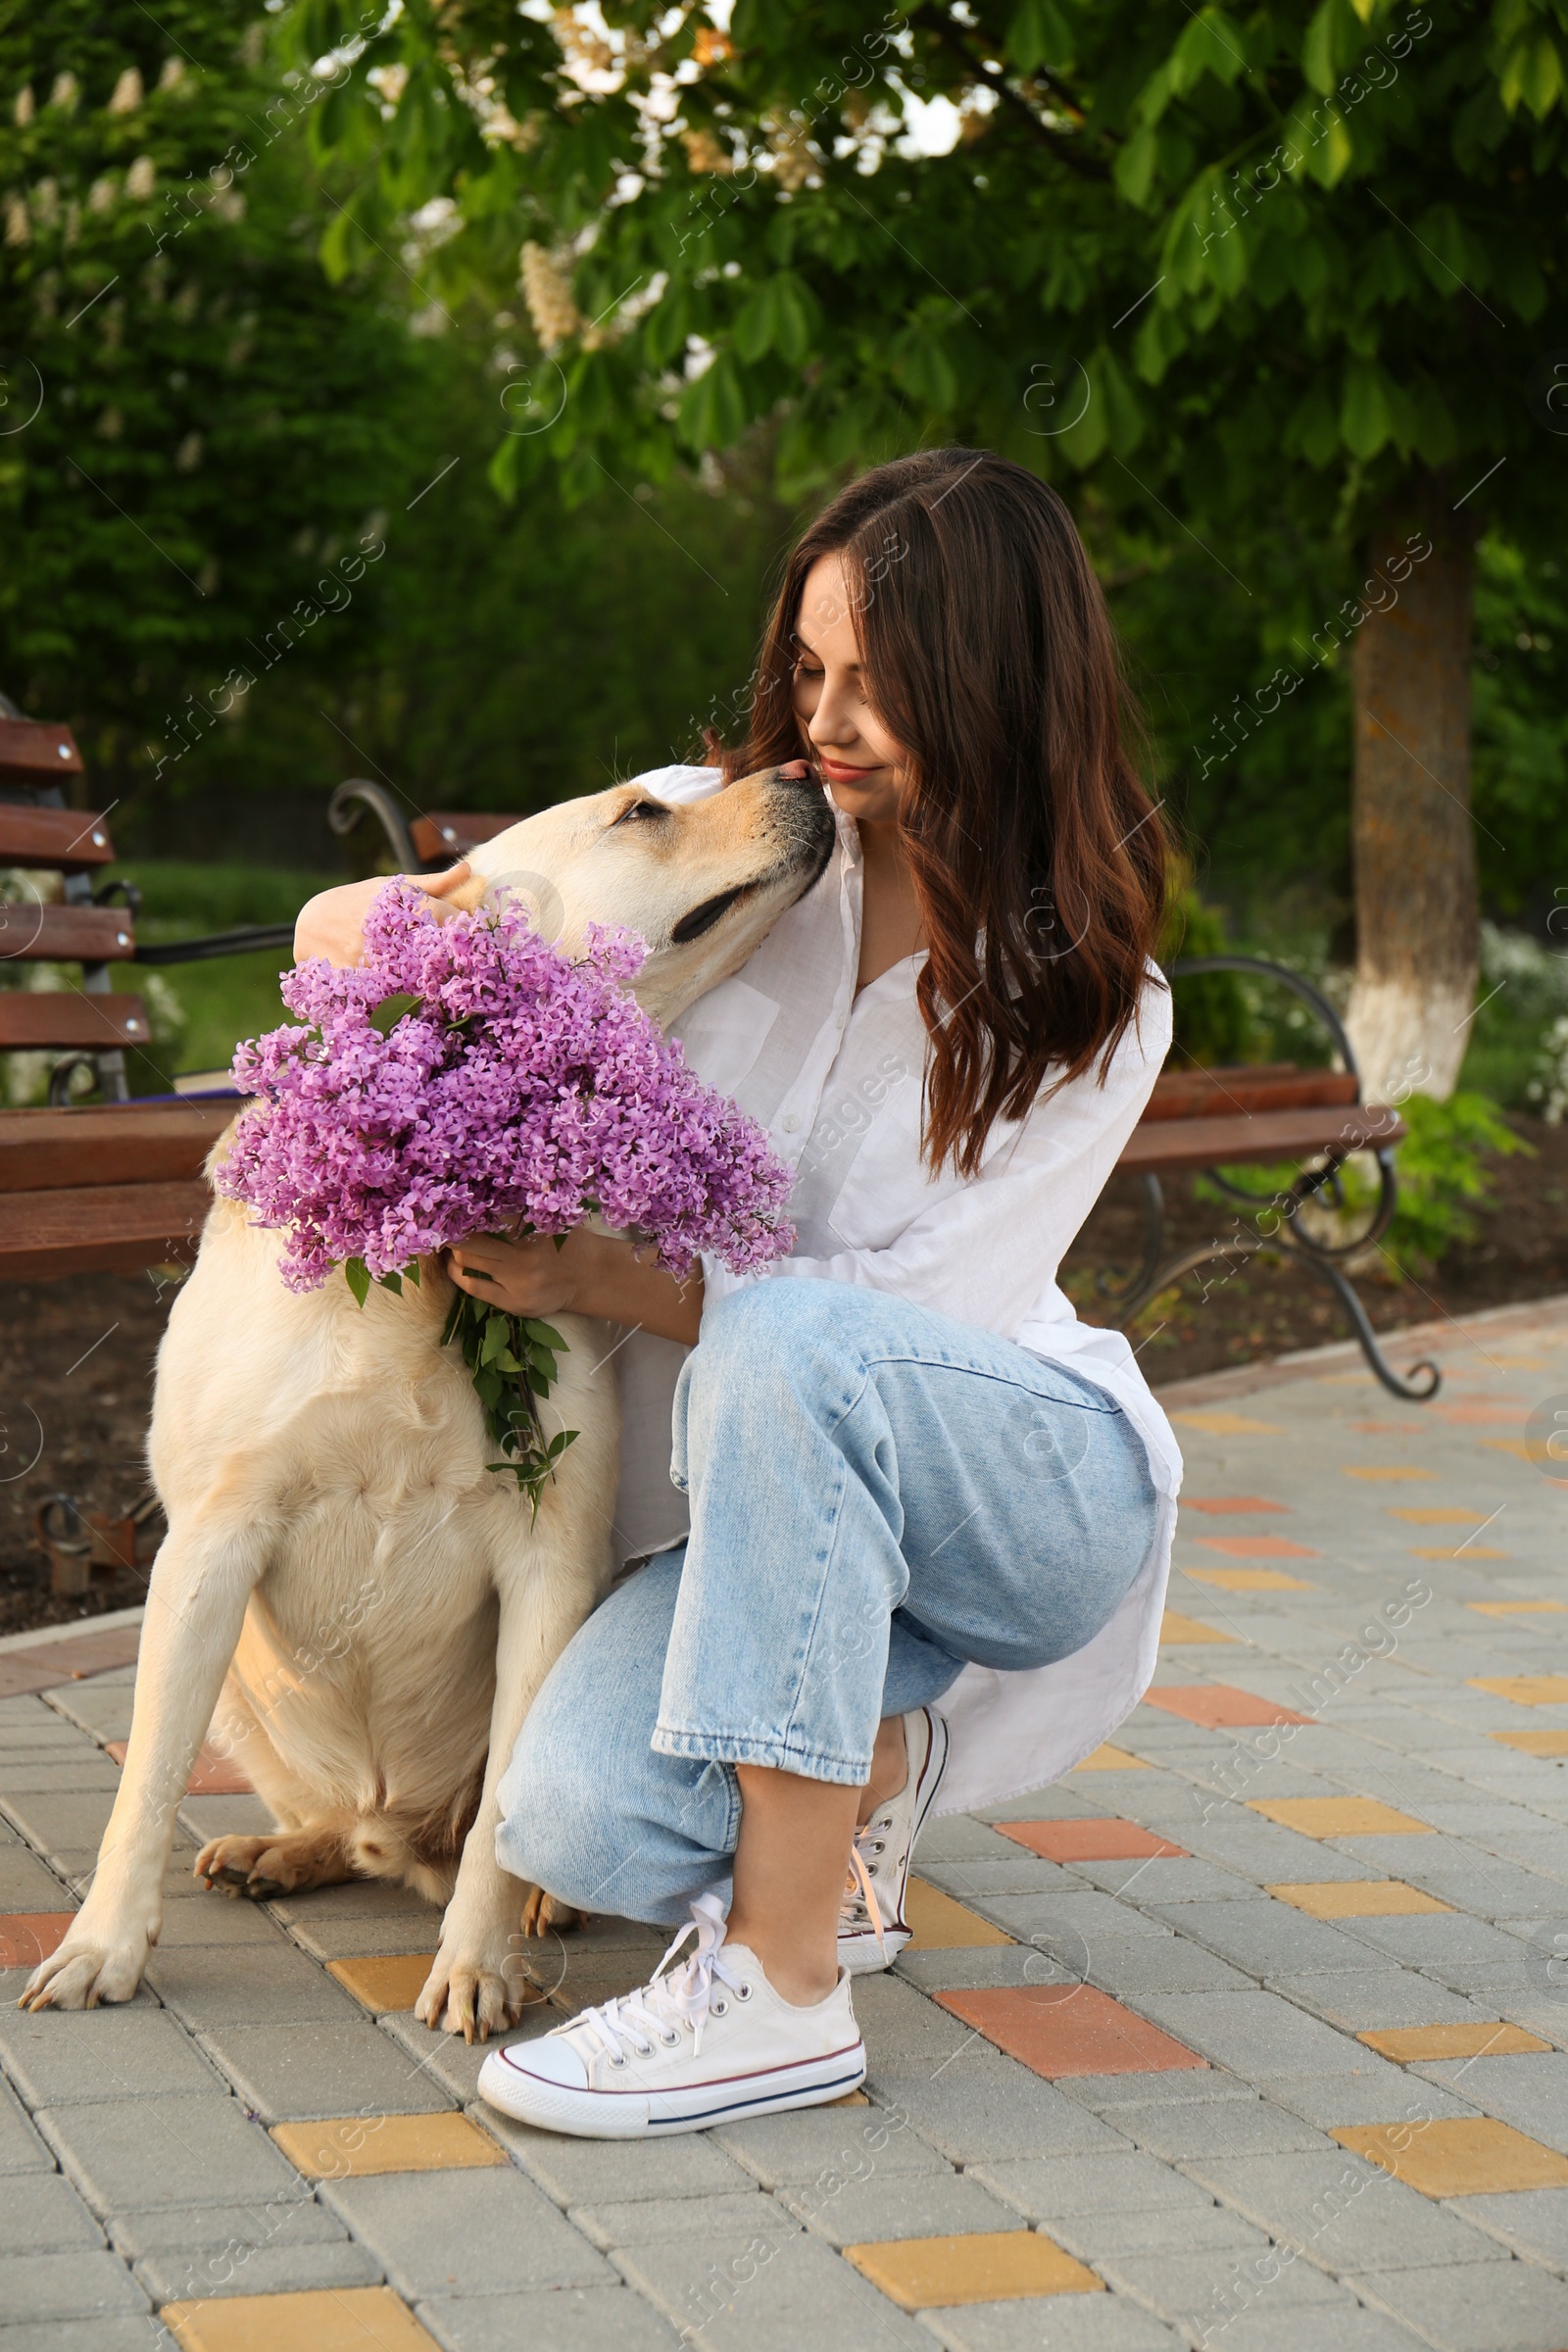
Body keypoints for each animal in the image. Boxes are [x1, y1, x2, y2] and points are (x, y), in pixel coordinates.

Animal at [24, 771, 832, 2041]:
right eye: (643, 809)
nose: (804, 769)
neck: (419, 1268)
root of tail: (400, 1827)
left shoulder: (551, 1558)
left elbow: (506, 1807)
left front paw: (477, 1963)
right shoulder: (207, 1547)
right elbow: (144, 1779)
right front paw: (103, 1946)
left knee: (479, 1830)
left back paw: (535, 1901)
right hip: (241, 1687)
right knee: (333, 1824)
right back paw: (281, 1850)